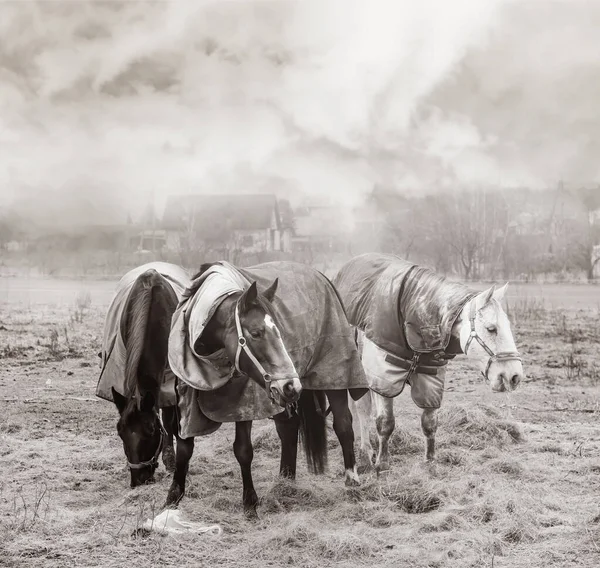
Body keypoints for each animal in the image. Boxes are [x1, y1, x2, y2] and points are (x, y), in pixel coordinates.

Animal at [96, 262, 191, 488]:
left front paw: (170, 461)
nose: (138, 479)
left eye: (151, 430)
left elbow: (169, 422)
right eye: (120, 431)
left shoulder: (170, 379)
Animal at [164, 260, 366, 516]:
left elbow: (243, 450)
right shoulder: (186, 397)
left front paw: (250, 503)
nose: (291, 385)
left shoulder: (245, 404)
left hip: (333, 376)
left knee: (343, 424)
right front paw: (172, 499)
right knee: (289, 428)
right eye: (256, 333)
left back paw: (352, 479)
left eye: (279, 331)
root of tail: (322, 276)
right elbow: (184, 449)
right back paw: (286, 480)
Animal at [332, 255, 524, 472]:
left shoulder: (430, 382)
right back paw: (365, 453)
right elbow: (385, 422)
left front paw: (430, 462)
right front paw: (383, 464)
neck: (414, 313)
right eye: (491, 329)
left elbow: (429, 423)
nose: (514, 376)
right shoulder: (383, 379)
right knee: (362, 409)